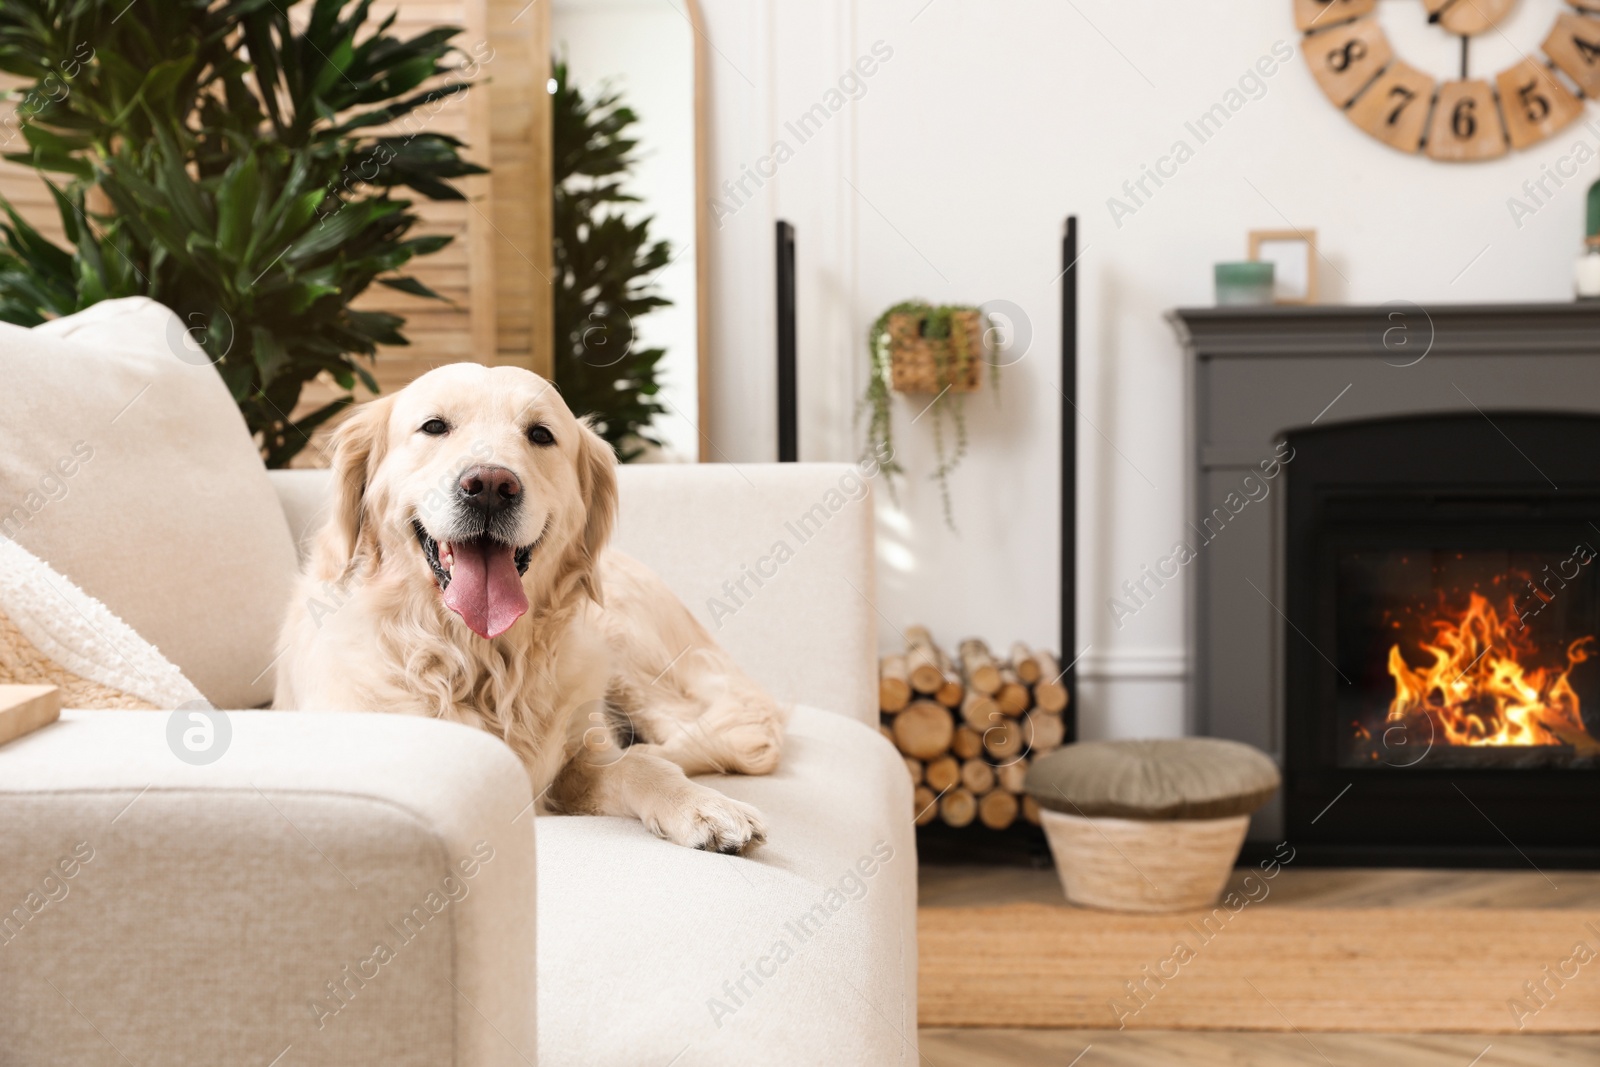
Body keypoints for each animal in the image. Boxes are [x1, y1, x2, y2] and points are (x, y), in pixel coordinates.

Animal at [276, 363, 787, 857]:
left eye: (540, 434)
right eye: (434, 426)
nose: (488, 485)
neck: (478, 660)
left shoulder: (580, 760)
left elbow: (640, 765)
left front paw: (706, 806)